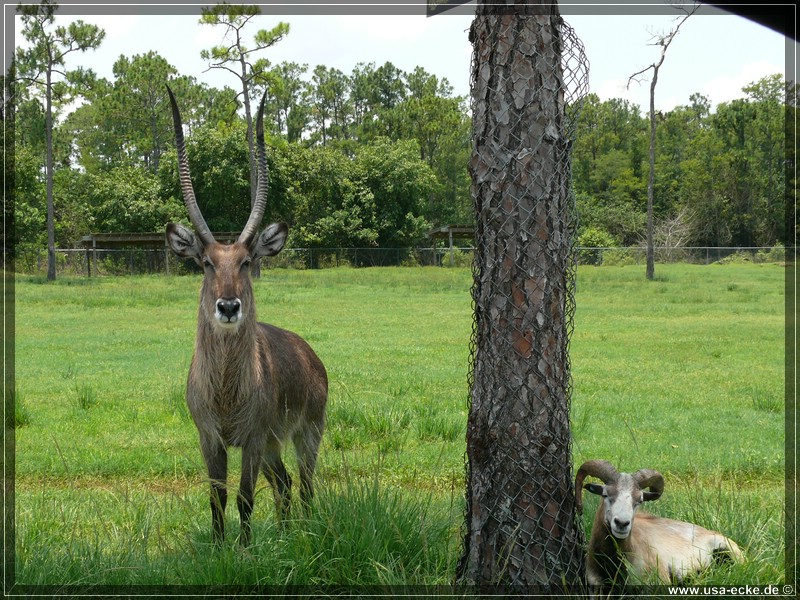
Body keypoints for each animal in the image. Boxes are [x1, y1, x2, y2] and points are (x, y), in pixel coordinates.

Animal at [166, 85, 328, 548]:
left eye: (245, 261)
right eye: (205, 262)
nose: (228, 307)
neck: (225, 392)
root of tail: (312, 355)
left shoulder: (253, 438)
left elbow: (244, 498)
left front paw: (245, 550)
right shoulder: (210, 438)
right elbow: (217, 498)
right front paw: (221, 548)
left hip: (306, 432)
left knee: (305, 485)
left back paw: (306, 533)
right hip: (275, 444)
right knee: (285, 484)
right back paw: (287, 535)